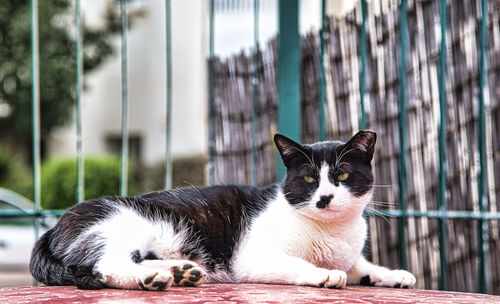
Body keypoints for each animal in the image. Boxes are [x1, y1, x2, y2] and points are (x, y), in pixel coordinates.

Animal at [29, 130, 416, 290]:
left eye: (342, 175)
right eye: (308, 179)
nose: (324, 199)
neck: (333, 232)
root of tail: (52, 228)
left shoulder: (350, 255)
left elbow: (362, 267)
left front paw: (394, 274)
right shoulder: (252, 258)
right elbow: (300, 264)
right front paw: (325, 274)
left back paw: (181, 272)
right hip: (118, 225)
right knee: (104, 265)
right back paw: (151, 279)